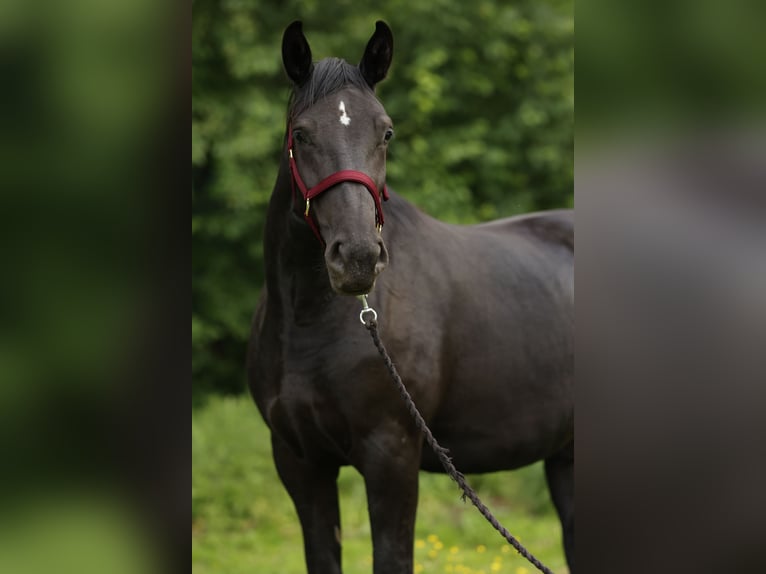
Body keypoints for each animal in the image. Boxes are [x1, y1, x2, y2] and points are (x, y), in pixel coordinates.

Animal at [247, 20, 574, 574]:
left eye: (386, 132)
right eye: (301, 134)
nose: (357, 256)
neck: (310, 325)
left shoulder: (391, 457)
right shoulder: (299, 462)